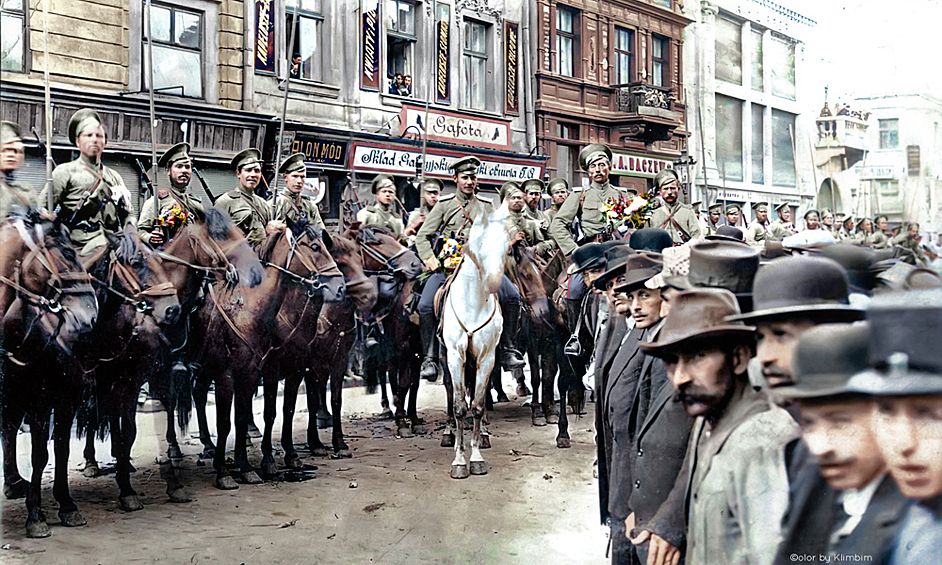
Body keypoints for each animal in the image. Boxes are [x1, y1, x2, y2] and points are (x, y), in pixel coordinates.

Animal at [194, 217, 344, 490]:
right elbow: (244, 418)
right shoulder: (241, 374)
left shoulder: (285, 370)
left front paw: (286, 456)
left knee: (198, 394)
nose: (340, 287)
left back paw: (208, 445)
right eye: (315, 247)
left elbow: (282, 411)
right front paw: (249, 466)